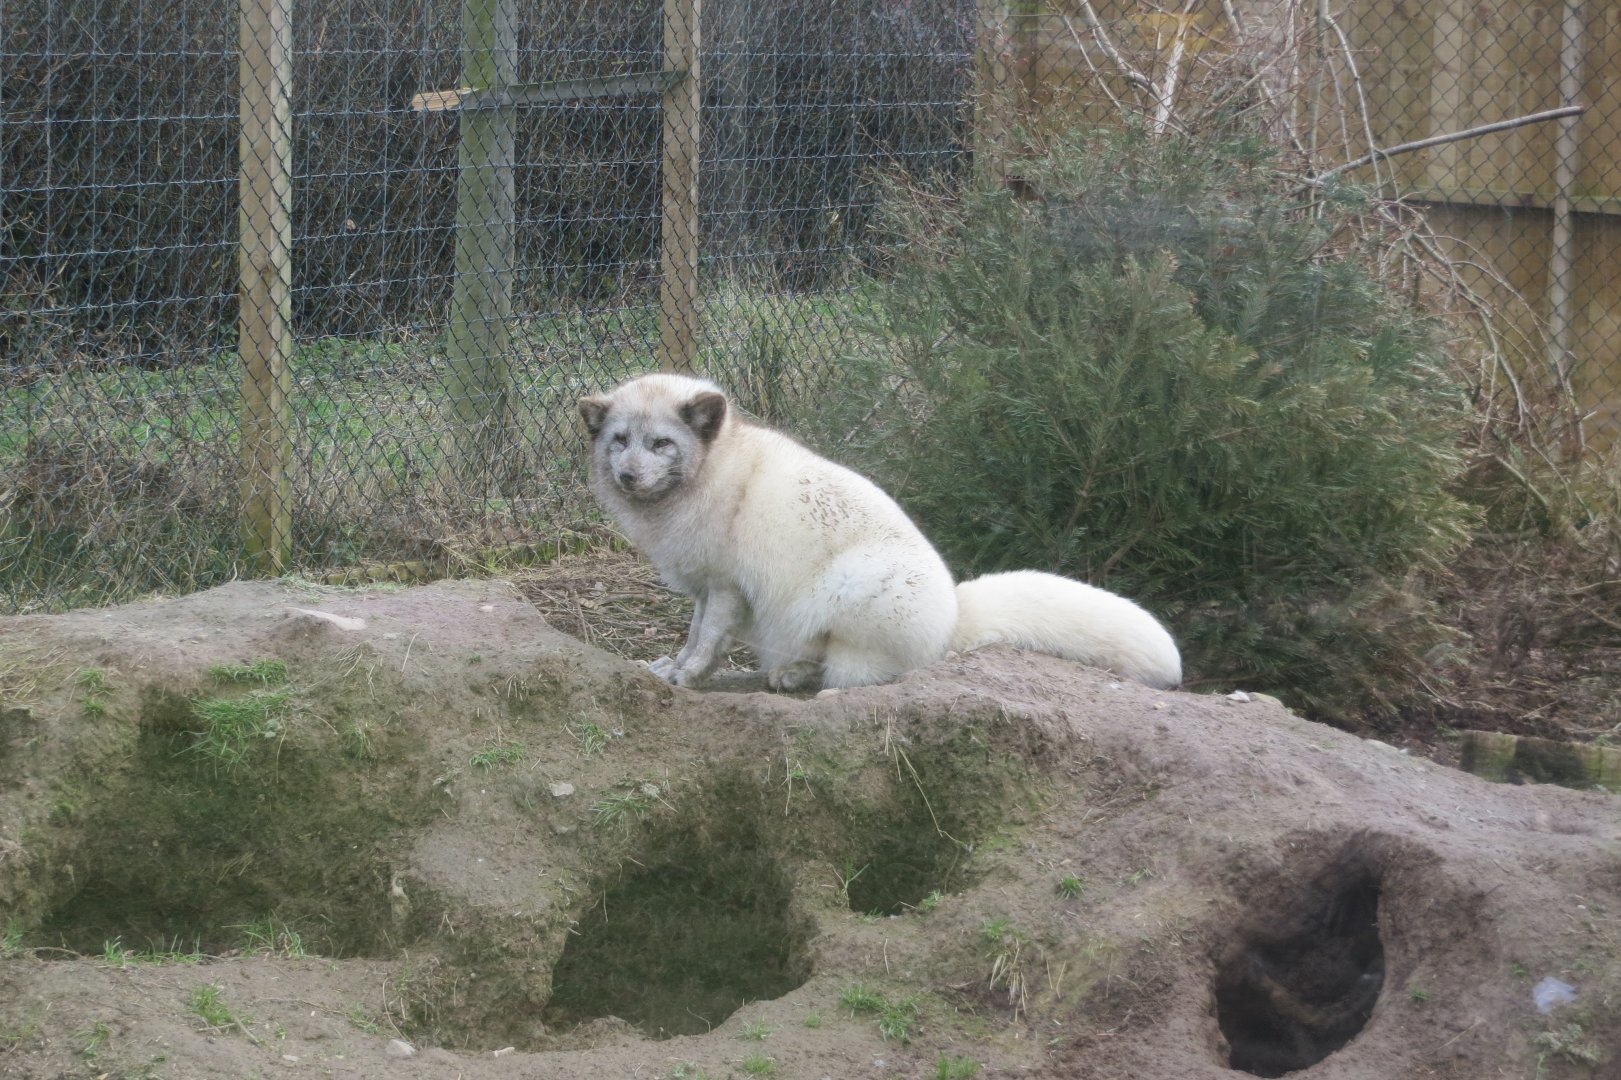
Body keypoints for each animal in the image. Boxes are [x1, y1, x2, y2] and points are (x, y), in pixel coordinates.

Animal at [578, 372, 1181, 692]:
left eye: (661, 444)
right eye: (620, 440)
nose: (628, 476)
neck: (712, 470)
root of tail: (953, 622)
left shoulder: (727, 586)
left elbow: (707, 642)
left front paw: (687, 678)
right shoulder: (705, 586)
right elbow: (693, 636)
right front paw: (672, 668)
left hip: (844, 585)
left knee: (853, 673)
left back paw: (793, 676)